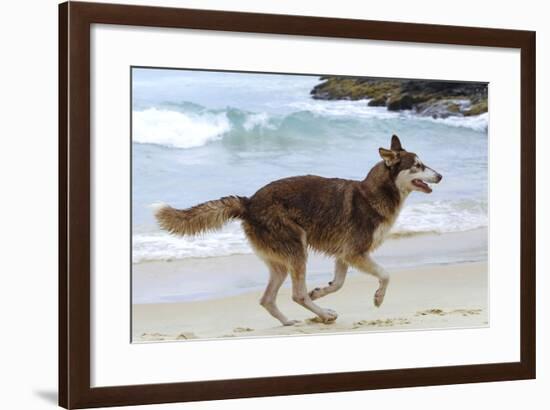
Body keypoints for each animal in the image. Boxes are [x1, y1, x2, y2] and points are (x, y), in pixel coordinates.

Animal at [155, 136, 444, 326]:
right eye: (417, 165)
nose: (440, 176)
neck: (373, 193)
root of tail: (249, 202)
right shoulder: (355, 253)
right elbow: (385, 275)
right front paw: (379, 298)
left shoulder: (344, 255)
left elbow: (338, 283)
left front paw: (322, 291)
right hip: (297, 249)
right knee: (296, 294)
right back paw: (323, 314)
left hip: (281, 262)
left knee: (268, 299)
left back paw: (289, 322)